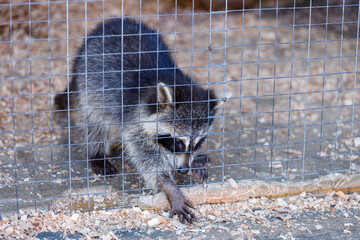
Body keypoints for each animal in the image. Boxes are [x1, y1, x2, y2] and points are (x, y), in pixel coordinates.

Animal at [54, 18, 224, 223]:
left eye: (198, 143)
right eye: (177, 142)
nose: (183, 170)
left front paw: (193, 160)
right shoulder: (133, 120)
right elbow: (146, 157)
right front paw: (168, 185)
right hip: (88, 86)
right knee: (94, 123)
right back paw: (97, 153)